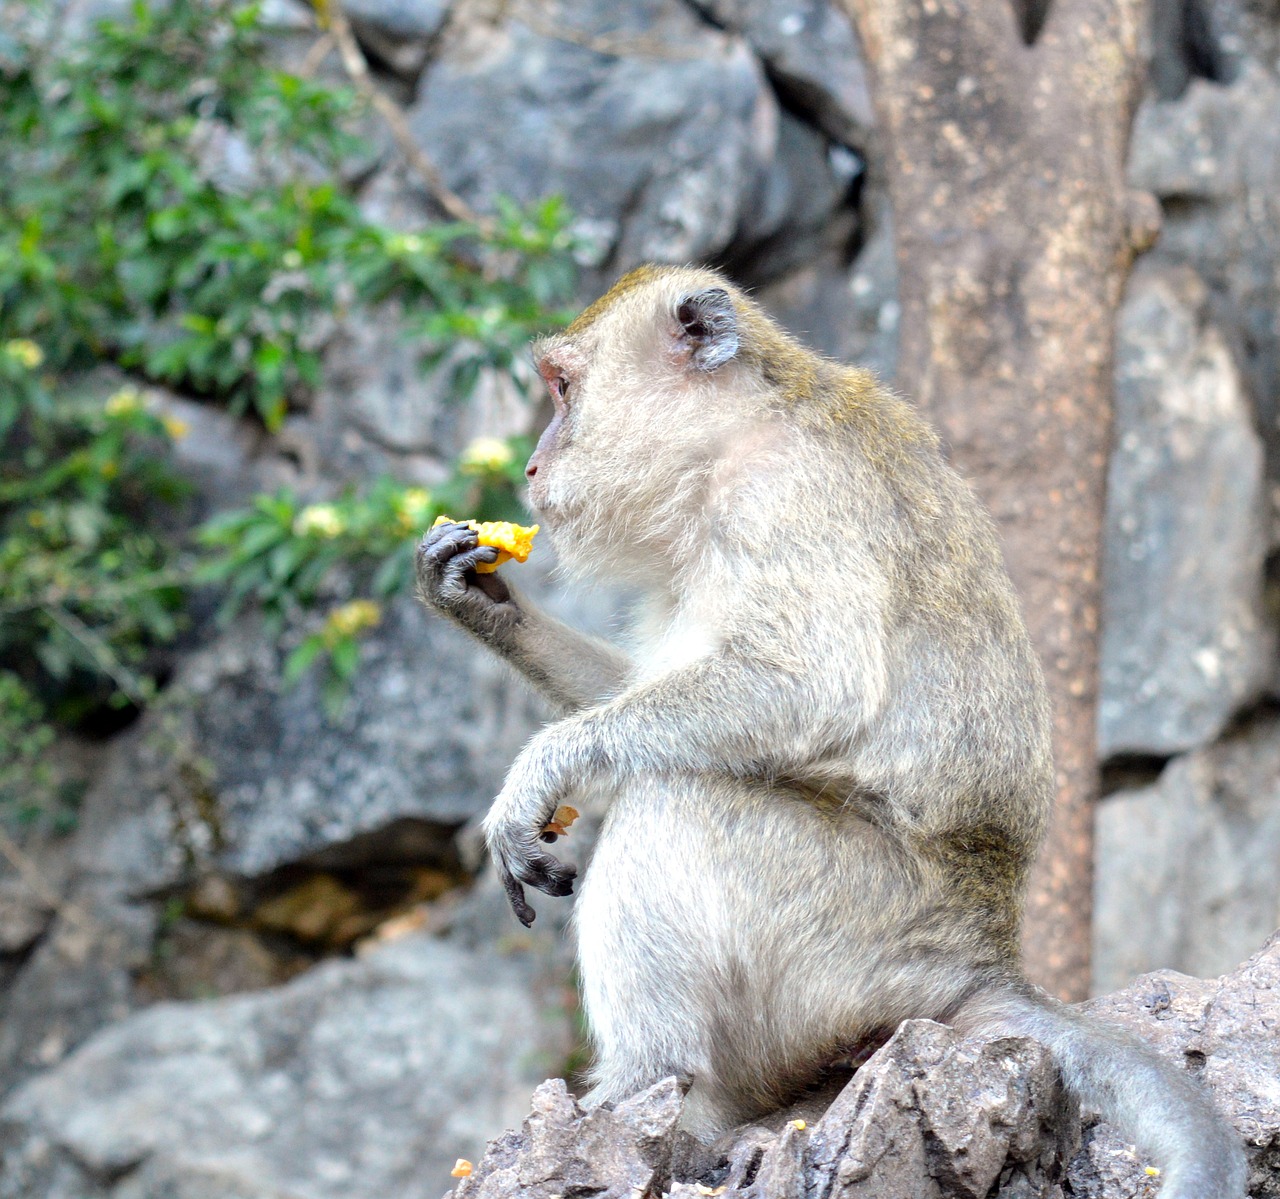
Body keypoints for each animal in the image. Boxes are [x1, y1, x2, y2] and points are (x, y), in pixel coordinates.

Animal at [414, 264, 1244, 1197]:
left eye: (562, 388)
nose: (531, 461)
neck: (730, 441)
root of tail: (979, 957)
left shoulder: (784, 496)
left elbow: (806, 688)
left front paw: (543, 766)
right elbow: (636, 688)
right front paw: (481, 601)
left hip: (849, 936)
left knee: (679, 800)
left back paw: (648, 1092)